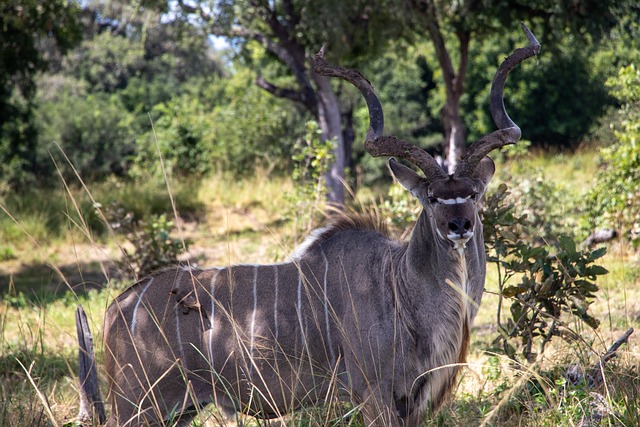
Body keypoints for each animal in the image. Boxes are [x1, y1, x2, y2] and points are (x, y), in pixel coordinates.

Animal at [79, 25, 540, 426]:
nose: (459, 225)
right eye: (431, 198)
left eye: (474, 193)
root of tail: (115, 309)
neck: (400, 286)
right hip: (141, 406)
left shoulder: (409, 402)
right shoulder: (374, 394)